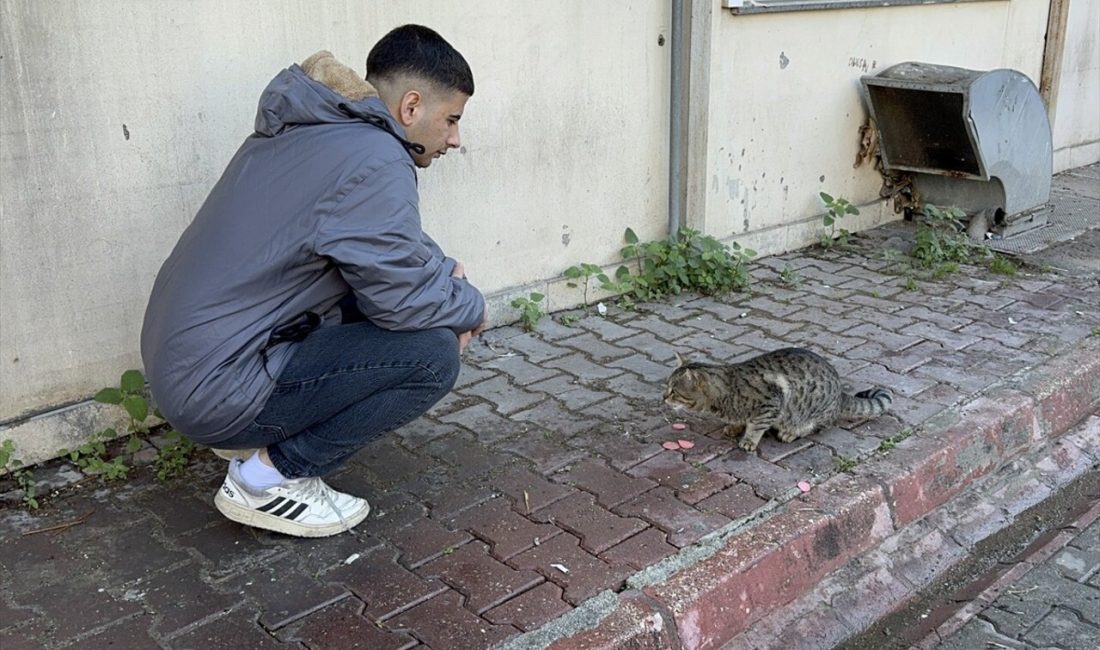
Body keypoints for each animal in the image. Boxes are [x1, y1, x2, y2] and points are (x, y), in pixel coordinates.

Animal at [664, 347, 888, 450]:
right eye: (667, 386)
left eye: (674, 391)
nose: (663, 397)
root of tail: (841, 393)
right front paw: (734, 427)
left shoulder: (769, 405)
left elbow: (755, 427)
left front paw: (748, 440)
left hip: (812, 413)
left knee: (816, 427)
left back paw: (791, 433)